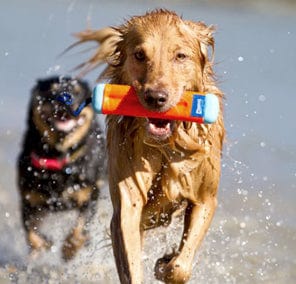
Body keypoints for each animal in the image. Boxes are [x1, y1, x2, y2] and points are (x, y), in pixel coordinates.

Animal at [17, 75, 105, 260]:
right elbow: (31, 232)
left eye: (78, 92)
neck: (59, 157)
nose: (66, 99)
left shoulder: (89, 195)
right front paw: (45, 244)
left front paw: (69, 248)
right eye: (52, 90)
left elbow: (80, 227)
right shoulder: (29, 200)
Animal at [72, 9, 224, 284]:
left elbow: (180, 267)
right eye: (140, 55)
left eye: (180, 56)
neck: (165, 148)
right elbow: (131, 261)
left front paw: (165, 264)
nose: (156, 97)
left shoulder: (205, 198)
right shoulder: (127, 203)